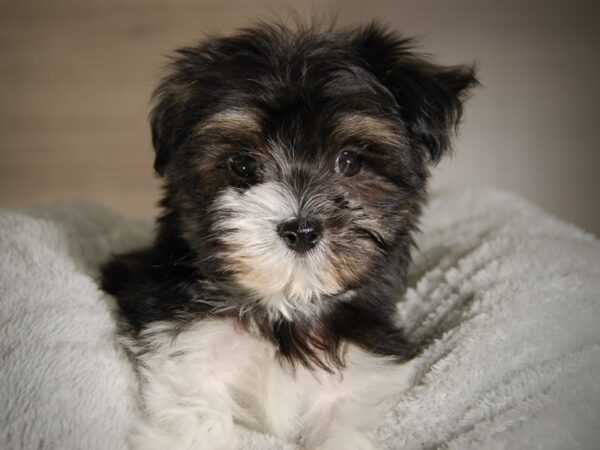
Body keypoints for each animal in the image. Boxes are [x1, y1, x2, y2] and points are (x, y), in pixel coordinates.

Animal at [103, 21, 478, 450]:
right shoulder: (188, 351)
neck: (285, 310)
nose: (301, 229)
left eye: (350, 161)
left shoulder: (356, 381)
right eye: (243, 164)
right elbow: (197, 417)